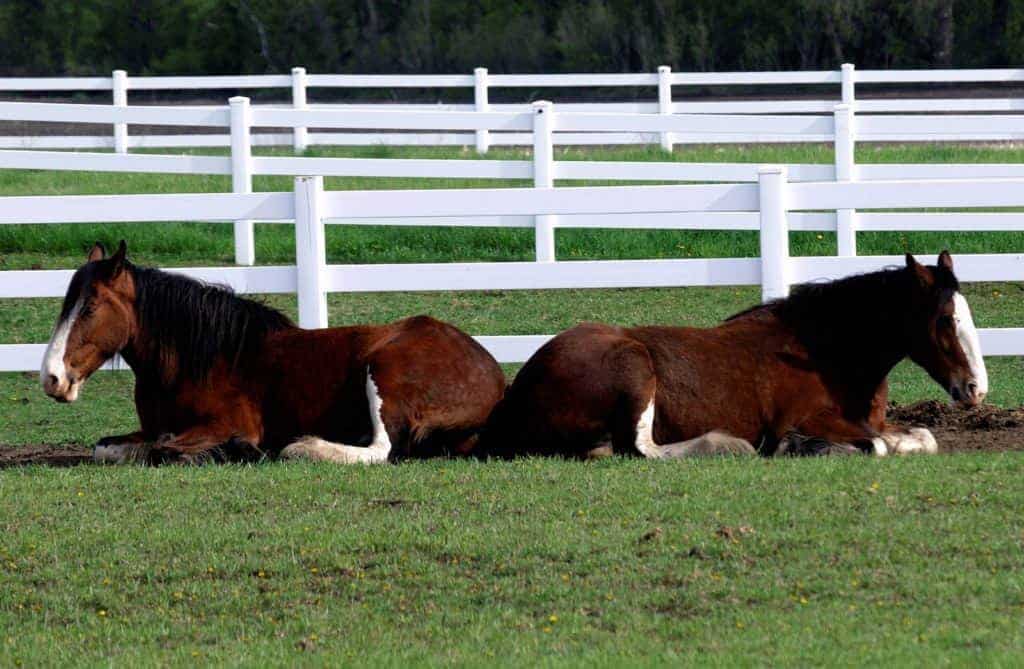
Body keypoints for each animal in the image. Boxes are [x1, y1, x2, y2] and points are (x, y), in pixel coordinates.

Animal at [40, 241, 506, 465]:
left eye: (90, 306)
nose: (52, 378)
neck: (196, 361)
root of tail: (492, 373)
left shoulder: (225, 424)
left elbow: (164, 450)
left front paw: (242, 451)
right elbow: (109, 449)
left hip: (383, 371)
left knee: (380, 450)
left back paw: (304, 448)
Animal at [478, 252, 987, 459]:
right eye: (945, 320)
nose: (976, 389)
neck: (826, 352)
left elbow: (922, 437)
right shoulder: (811, 419)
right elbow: (876, 446)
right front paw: (796, 447)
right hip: (636, 369)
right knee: (639, 449)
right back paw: (725, 445)